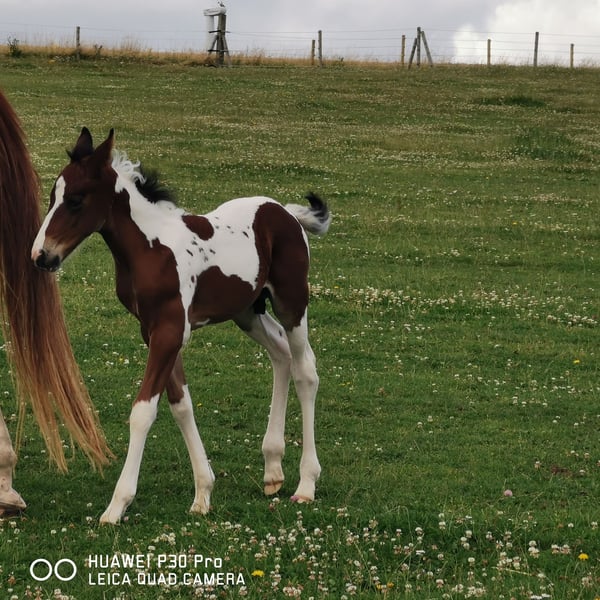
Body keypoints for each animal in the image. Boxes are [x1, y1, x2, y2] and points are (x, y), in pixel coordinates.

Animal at [31, 127, 331, 524]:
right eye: (53, 196)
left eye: (77, 200)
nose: (41, 256)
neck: (150, 249)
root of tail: (285, 212)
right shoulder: (155, 331)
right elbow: (181, 405)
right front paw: (203, 493)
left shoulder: (170, 332)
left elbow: (143, 411)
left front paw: (117, 504)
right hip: (247, 311)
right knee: (280, 354)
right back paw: (272, 470)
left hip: (291, 301)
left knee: (305, 370)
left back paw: (306, 483)